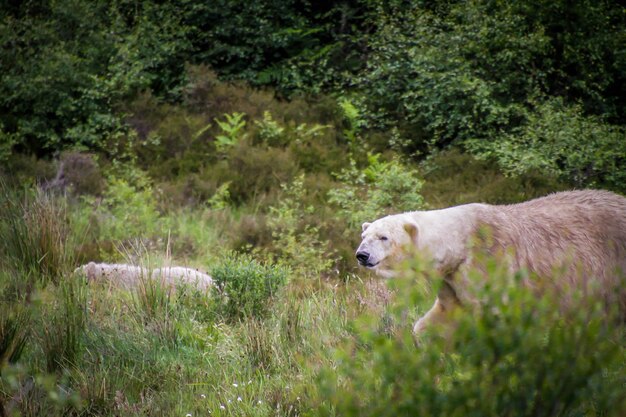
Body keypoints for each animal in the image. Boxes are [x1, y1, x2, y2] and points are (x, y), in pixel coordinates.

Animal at [356, 190, 624, 334]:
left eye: (384, 237)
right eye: (364, 236)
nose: (362, 255)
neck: (459, 240)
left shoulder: (490, 263)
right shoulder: (453, 279)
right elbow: (442, 317)